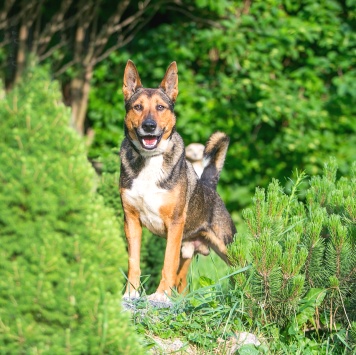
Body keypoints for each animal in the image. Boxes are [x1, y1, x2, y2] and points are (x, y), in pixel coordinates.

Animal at [120, 59, 236, 302]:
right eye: (138, 107)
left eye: (160, 107)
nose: (149, 126)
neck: (150, 160)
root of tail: (208, 185)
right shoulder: (131, 220)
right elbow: (134, 261)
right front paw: (131, 294)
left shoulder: (174, 224)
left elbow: (167, 263)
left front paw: (160, 296)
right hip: (188, 251)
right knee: (181, 282)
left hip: (226, 245)